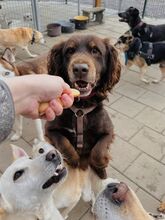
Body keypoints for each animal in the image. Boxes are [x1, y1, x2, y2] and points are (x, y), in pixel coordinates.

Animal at [45, 34, 121, 180]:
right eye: (69, 51)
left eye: (95, 51)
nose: (80, 68)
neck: (81, 108)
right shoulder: (50, 130)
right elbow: (63, 142)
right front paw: (73, 159)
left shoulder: (109, 131)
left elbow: (98, 151)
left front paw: (101, 163)